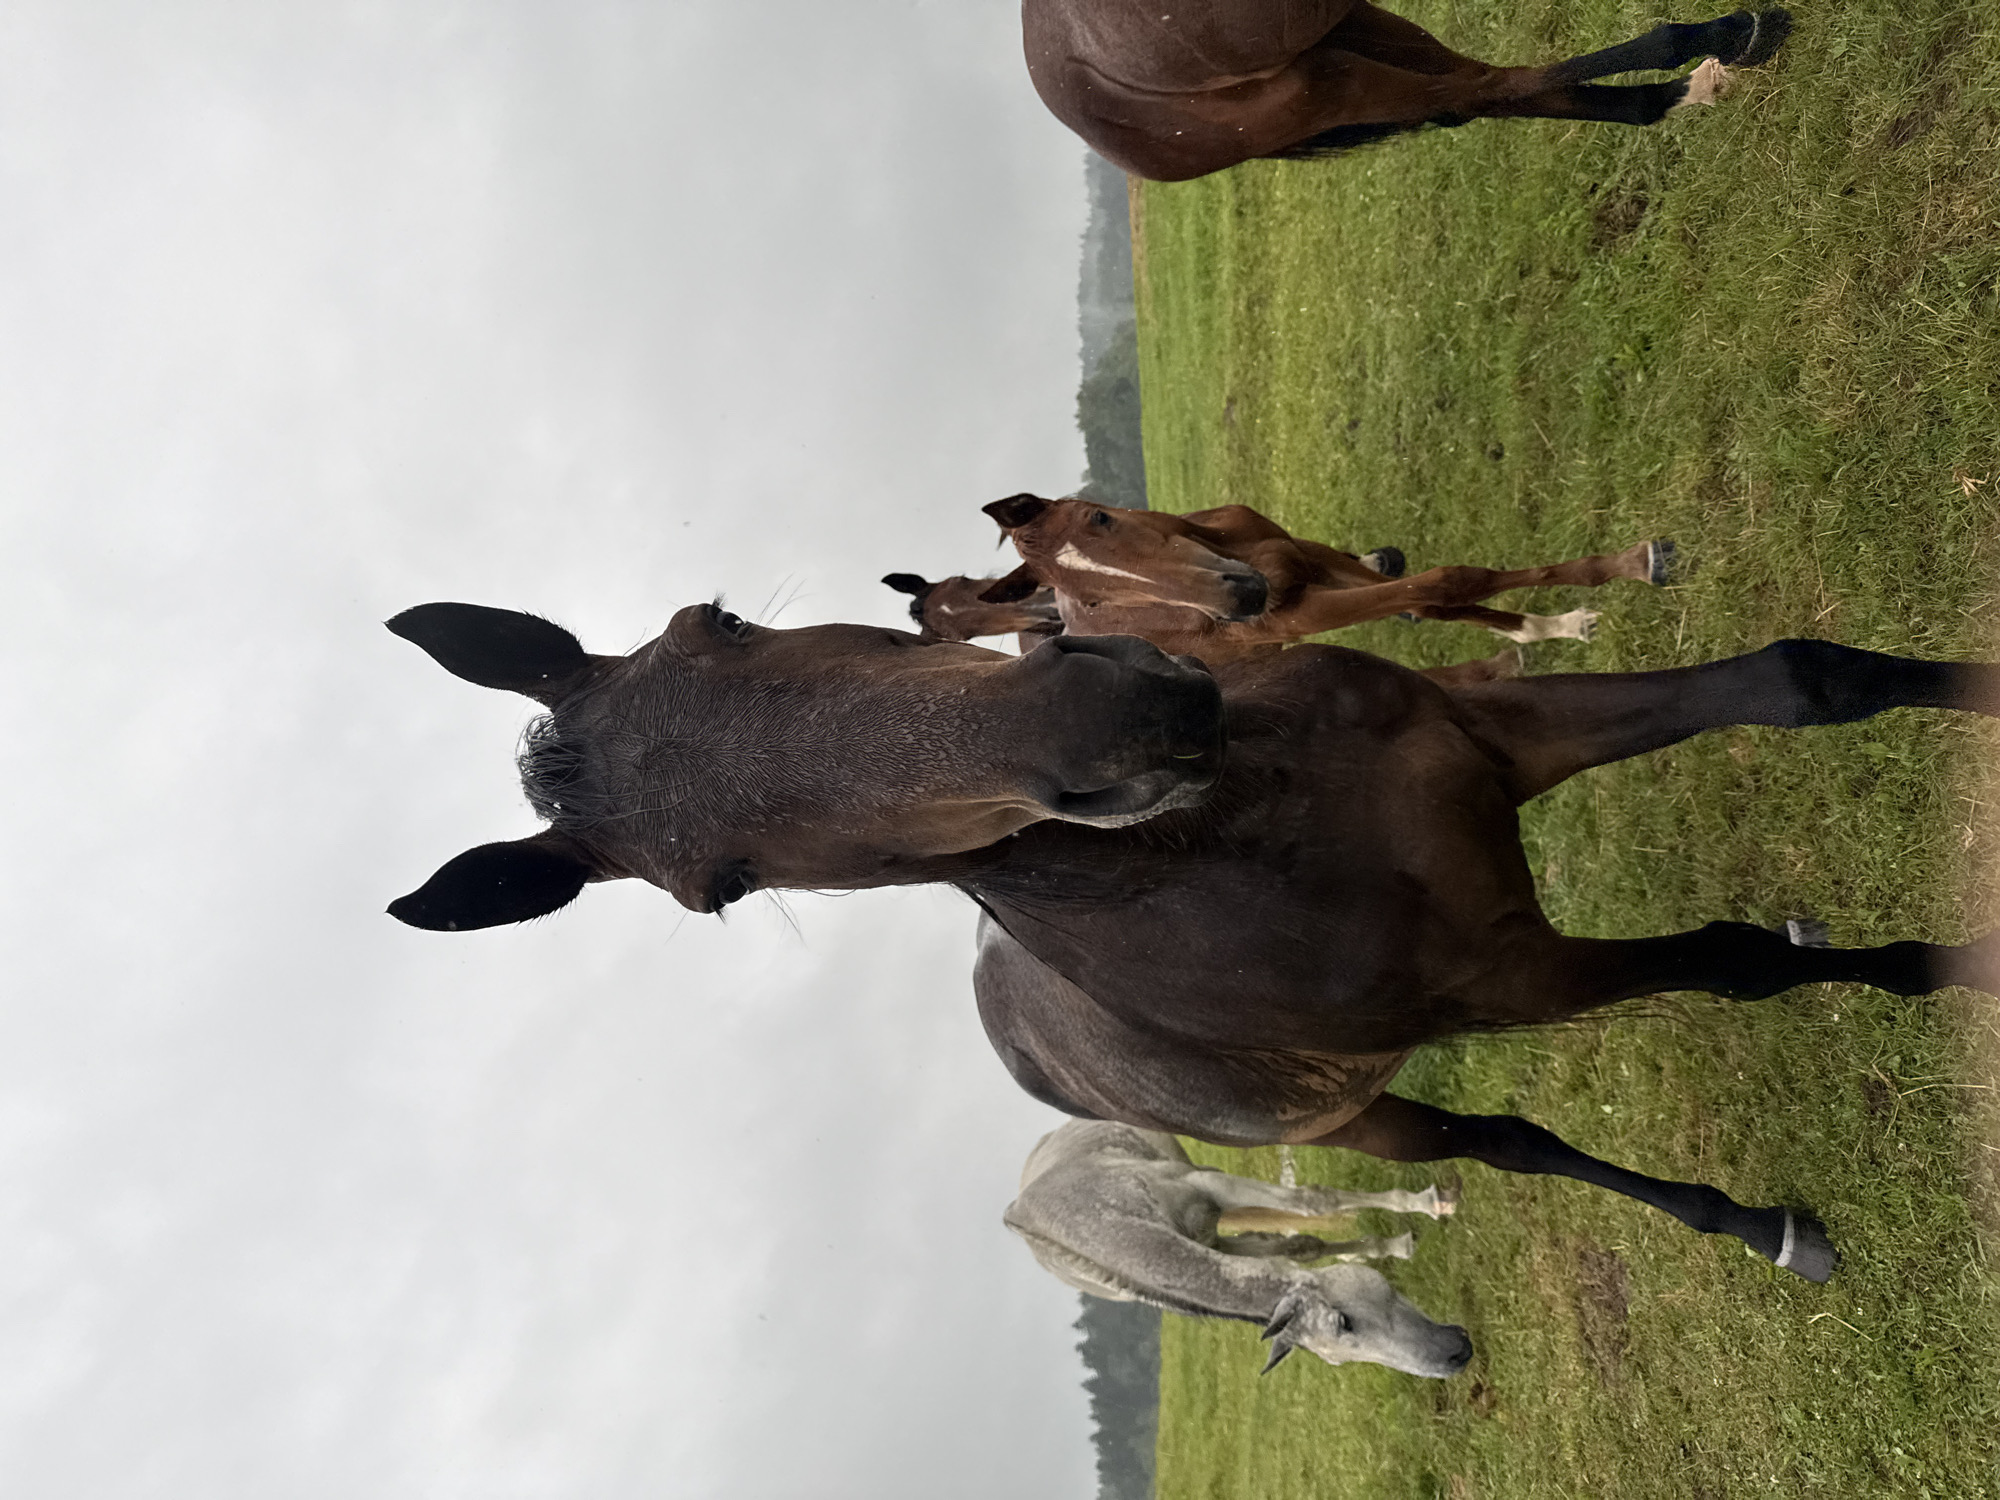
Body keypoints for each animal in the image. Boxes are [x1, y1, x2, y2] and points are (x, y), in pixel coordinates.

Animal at [384, 601, 2000, 1281]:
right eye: (716, 886)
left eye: (717, 618)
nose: (1127, 712)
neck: (1253, 826)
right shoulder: (1504, 973)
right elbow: (1740, 962)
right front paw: (1949, 974)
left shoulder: (1493, 734)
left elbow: (1806, 683)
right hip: (1369, 1108)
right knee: (1510, 1148)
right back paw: (1754, 1227)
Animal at [1005, 1119, 1468, 1377]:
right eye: (1343, 1332)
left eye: (1344, 1320)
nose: (1456, 1356)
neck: (1100, 1222)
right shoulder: (1221, 1246)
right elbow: (1304, 1245)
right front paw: (1392, 1243)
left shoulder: (1207, 1185)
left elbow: (1312, 1202)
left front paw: (1426, 1206)